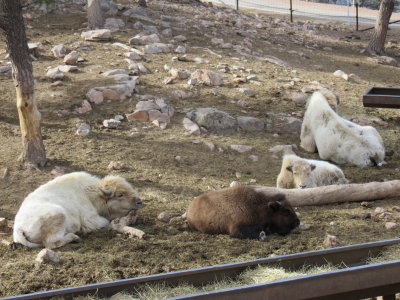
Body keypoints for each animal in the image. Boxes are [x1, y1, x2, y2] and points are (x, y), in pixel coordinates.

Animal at [12, 171, 142, 248]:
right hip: (59, 214)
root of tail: (18, 227)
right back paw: (74, 237)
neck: (91, 193)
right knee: (51, 243)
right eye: (119, 194)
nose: (139, 201)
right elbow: (106, 221)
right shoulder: (91, 220)